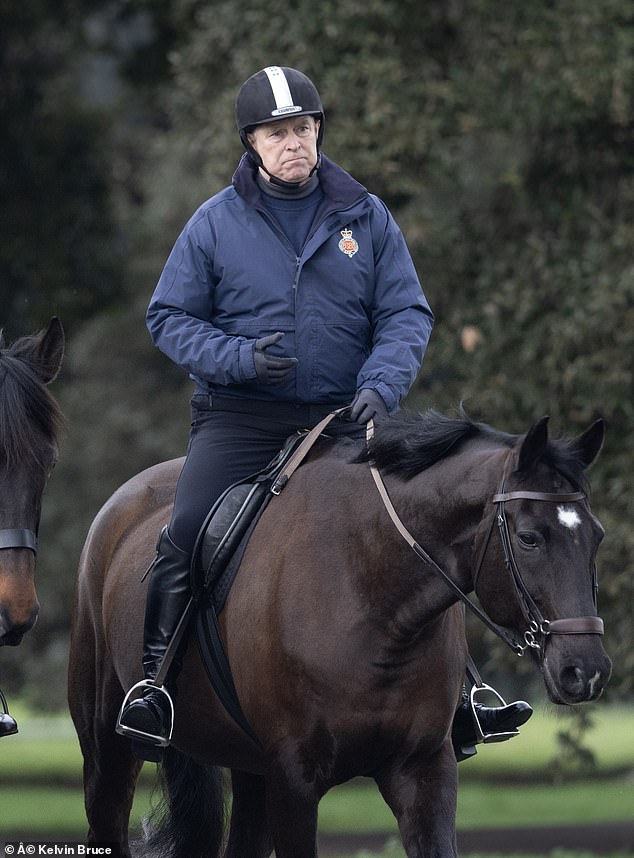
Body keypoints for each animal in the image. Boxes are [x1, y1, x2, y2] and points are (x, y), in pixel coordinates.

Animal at [68, 410, 608, 856]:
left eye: (596, 536)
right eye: (529, 538)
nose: (587, 671)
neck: (372, 596)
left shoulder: (423, 770)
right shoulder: (293, 778)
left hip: (250, 768)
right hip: (108, 752)